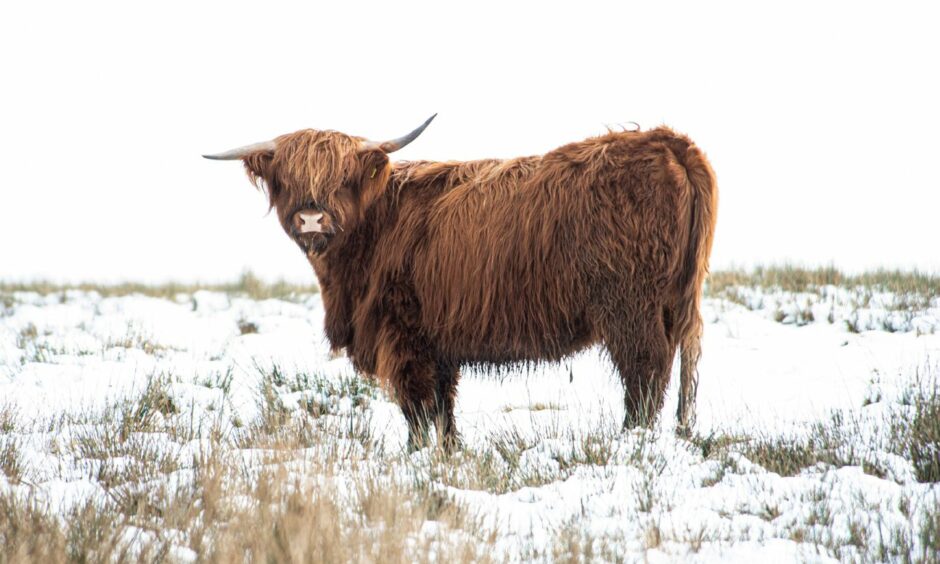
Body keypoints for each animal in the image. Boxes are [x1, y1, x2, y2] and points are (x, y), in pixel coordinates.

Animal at [204, 114, 720, 450]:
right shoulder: (439, 340)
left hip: (630, 307)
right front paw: (451, 453)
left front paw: (415, 457)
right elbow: (444, 406)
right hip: (679, 299)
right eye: (287, 178)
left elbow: (416, 407)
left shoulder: (403, 333)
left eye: (343, 177)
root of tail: (667, 141)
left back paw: (629, 442)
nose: (312, 218)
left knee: (645, 373)